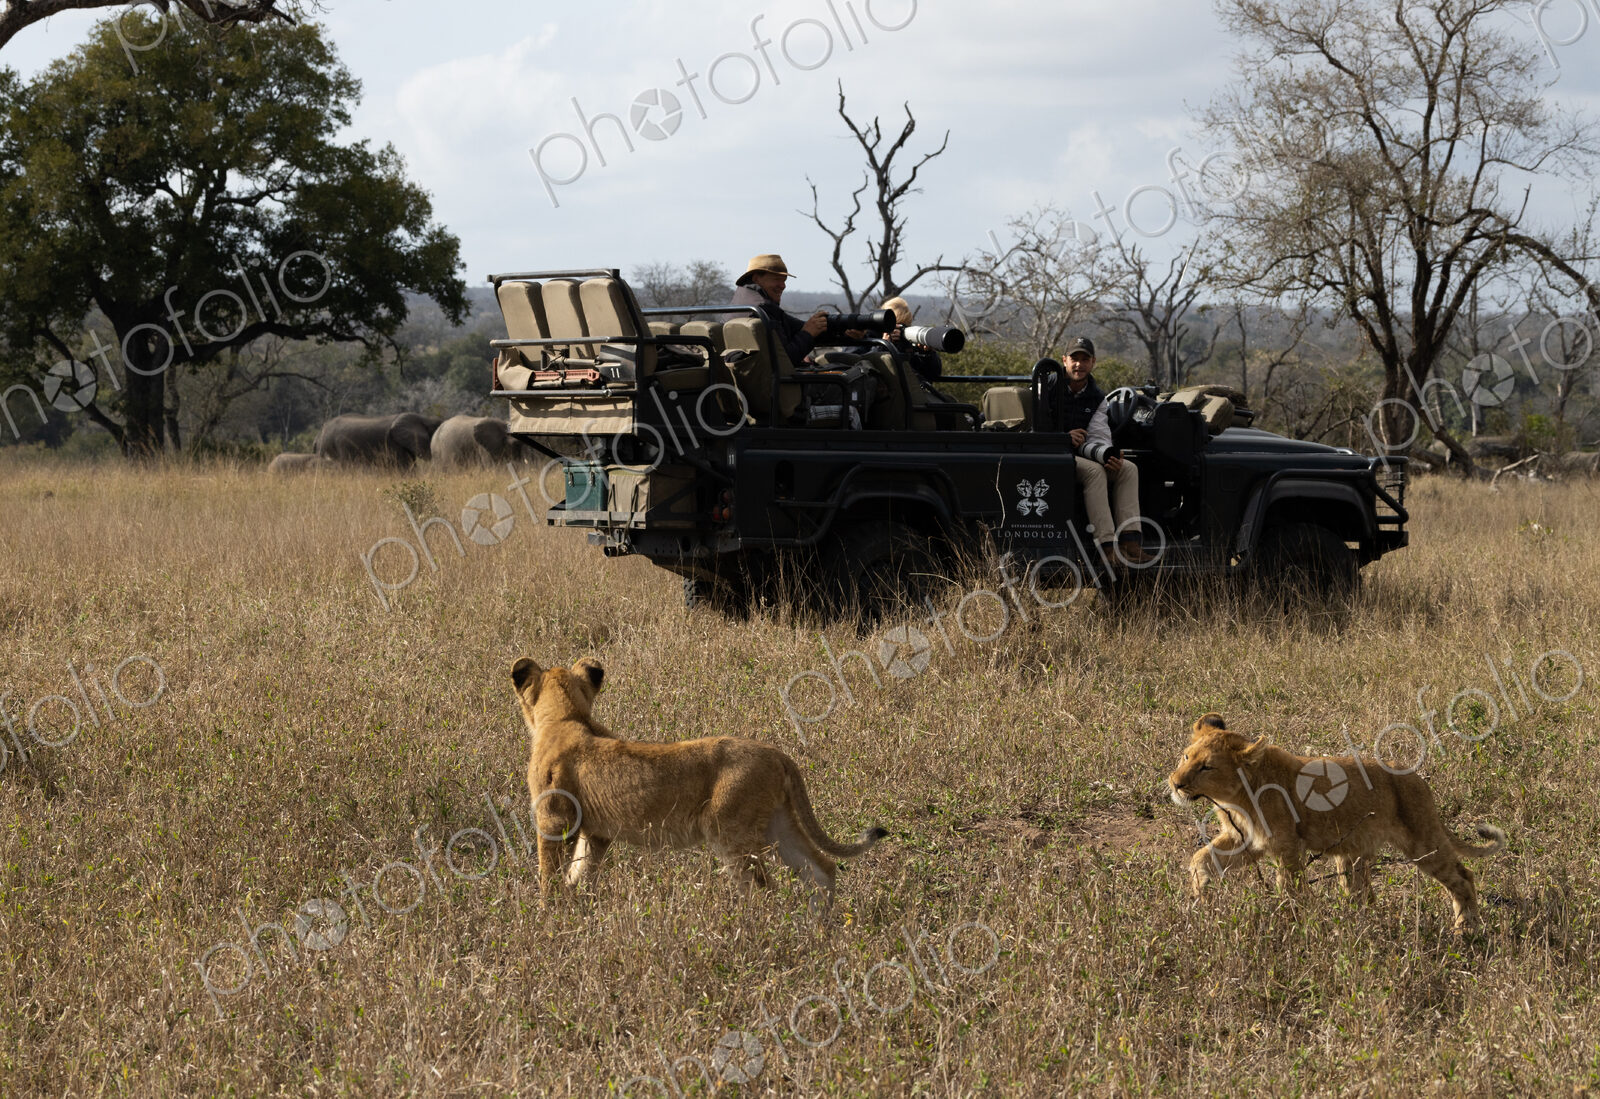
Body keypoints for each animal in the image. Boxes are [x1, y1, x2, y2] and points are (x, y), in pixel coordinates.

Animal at [510, 656, 889, 904]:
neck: (565, 716)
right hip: (777, 823)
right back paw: (822, 933)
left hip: (728, 829)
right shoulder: (597, 833)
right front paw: (576, 909)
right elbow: (580, 872)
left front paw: (549, 918)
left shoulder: (555, 820)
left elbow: (550, 875)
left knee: (763, 890)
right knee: (821, 869)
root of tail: (778, 754)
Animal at [1167, 713, 1505, 930]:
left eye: (1207, 767)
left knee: (1463, 876)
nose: (1175, 784)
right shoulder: (1244, 840)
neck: (1237, 798)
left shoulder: (1287, 846)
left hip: (1422, 841)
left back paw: (1466, 929)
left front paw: (1295, 925)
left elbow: (1290, 888)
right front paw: (1201, 894)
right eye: (1186, 757)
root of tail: (1418, 779)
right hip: (1354, 855)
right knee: (1363, 894)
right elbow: (1200, 858)